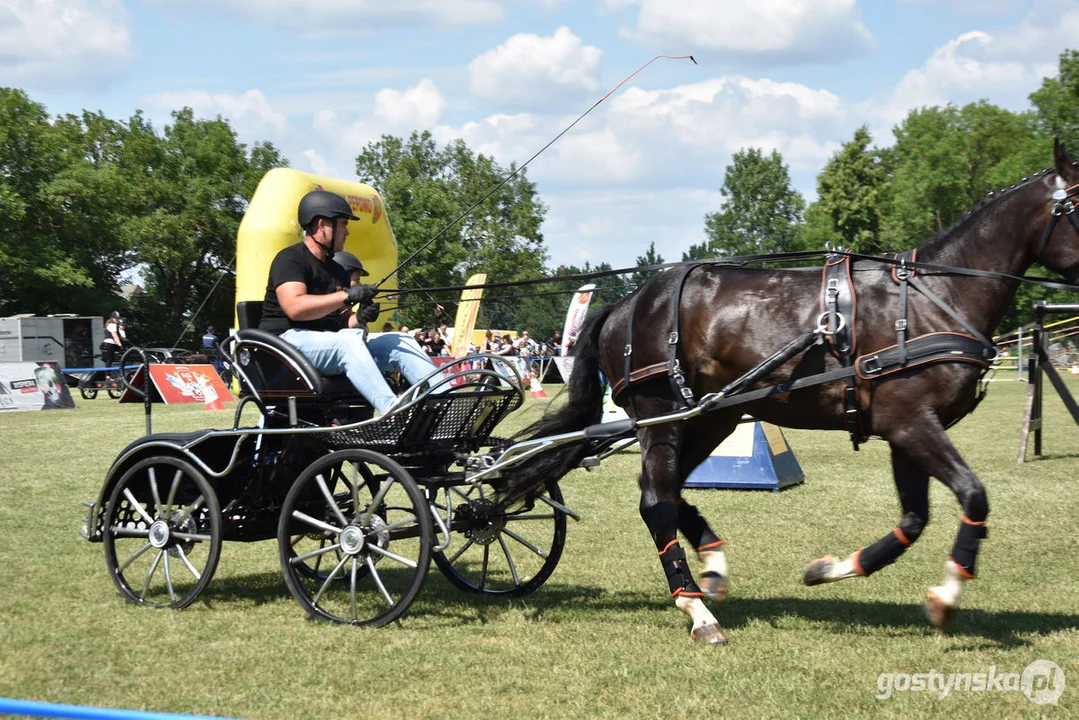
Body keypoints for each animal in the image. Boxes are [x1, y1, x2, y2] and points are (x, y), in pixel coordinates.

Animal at [504, 139, 1079, 643]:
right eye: (1077, 206)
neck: (933, 297)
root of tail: (626, 303)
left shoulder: (905, 429)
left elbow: (914, 519)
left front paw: (830, 569)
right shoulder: (911, 423)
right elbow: (973, 494)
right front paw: (947, 594)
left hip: (709, 415)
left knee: (666, 490)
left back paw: (712, 565)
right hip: (659, 412)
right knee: (655, 502)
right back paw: (696, 611)